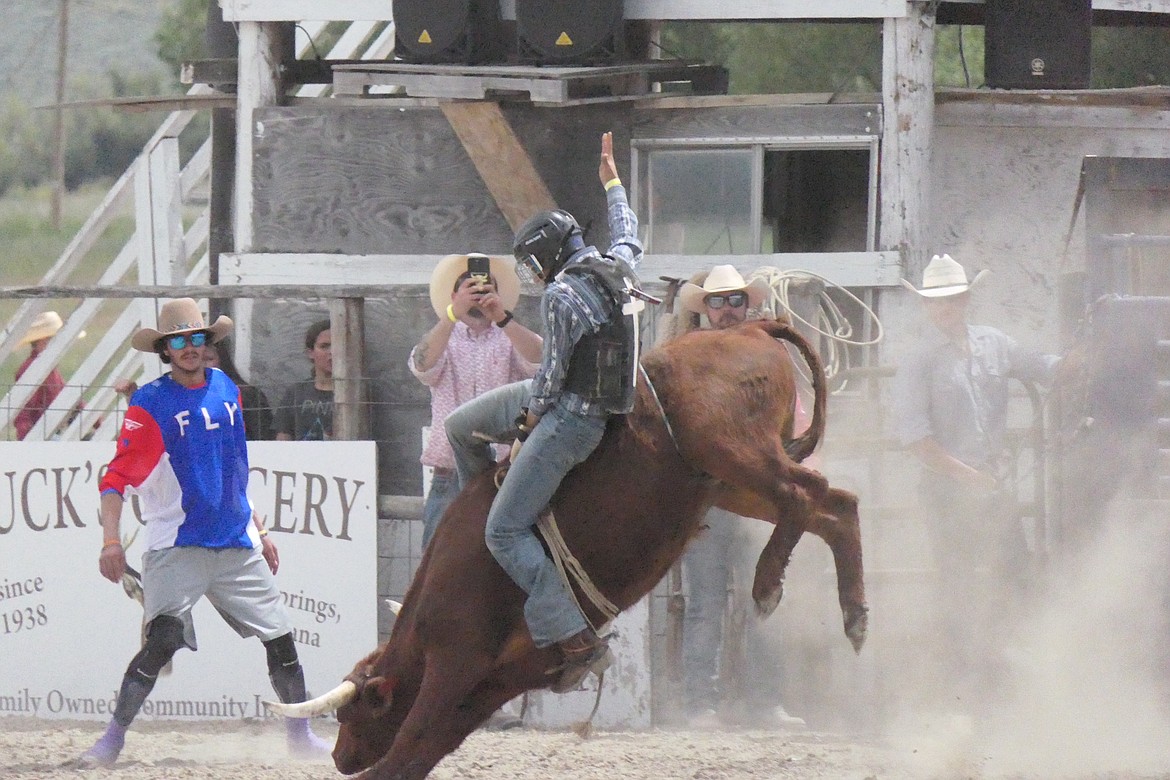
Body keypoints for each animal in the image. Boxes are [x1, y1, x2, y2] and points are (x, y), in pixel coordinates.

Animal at [269, 318, 865, 780]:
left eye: (352, 716)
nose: (340, 758)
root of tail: (747, 327)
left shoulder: (453, 662)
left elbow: (409, 745)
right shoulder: (497, 681)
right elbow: (423, 751)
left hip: (736, 454)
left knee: (804, 493)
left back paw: (767, 585)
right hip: (730, 485)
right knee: (837, 506)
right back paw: (855, 615)